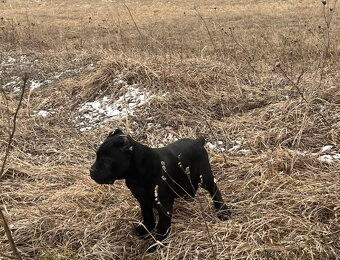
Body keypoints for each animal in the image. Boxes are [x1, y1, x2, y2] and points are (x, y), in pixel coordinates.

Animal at [89, 129, 230, 251]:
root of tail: (198, 141)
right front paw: (146, 230)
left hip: (204, 178)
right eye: (96, 156)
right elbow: (148, 216)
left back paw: (223, 212)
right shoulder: (143, 200)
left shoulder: (163, 205)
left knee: (215, 191)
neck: (136, 174)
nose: (91, 171)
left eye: (105, 161)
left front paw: (158, 244)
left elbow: (162, 226)